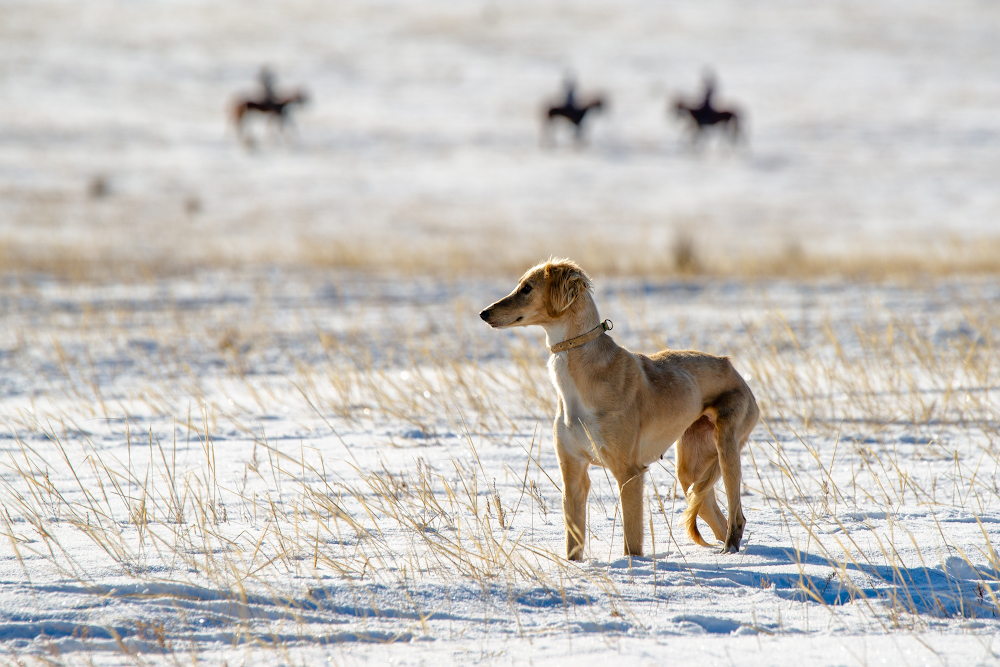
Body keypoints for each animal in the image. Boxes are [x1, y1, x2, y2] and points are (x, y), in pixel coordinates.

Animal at [478, 258, 756, 560]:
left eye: (527, 288)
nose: (483, 313)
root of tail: (731, 367)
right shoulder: (573, 473)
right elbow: (573, 544)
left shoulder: (629, 473)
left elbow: (631, 543)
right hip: (691, 471)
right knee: (715, 515)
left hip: (726, 446)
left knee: (737, 516)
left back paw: (730, 548)